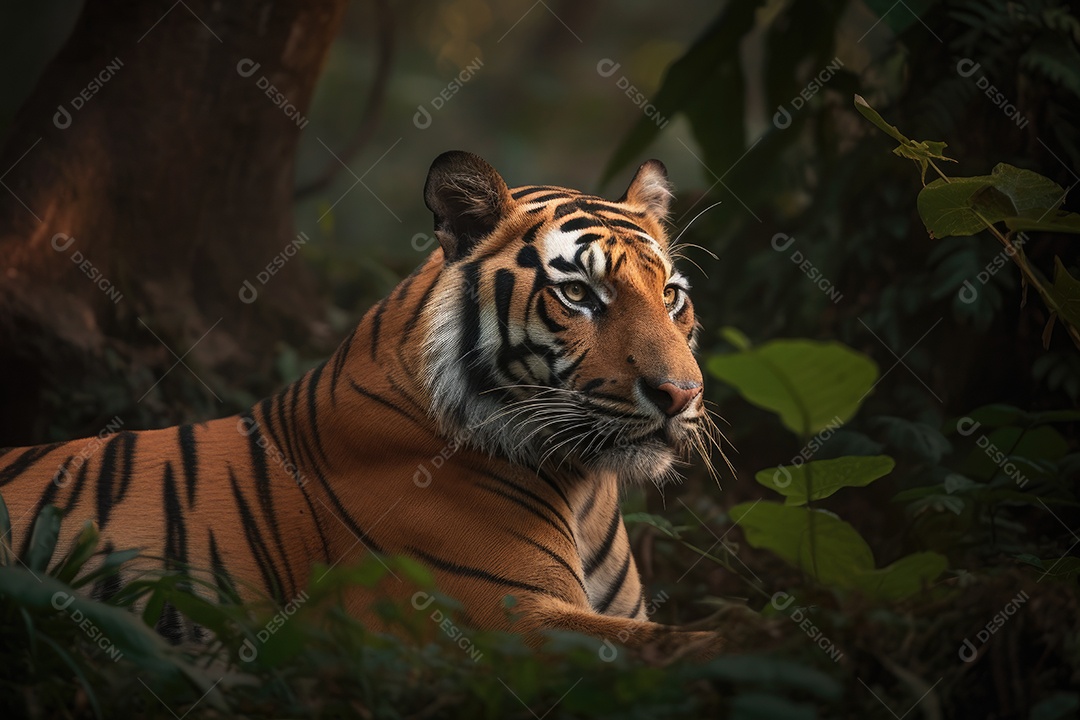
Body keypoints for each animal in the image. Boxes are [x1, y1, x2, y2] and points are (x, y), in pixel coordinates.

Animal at [0, 151, 724, 657]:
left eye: (671, 296)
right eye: (578, 295)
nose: (681, 394)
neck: (585, 487)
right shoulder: (502, 617)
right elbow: (695, 646)